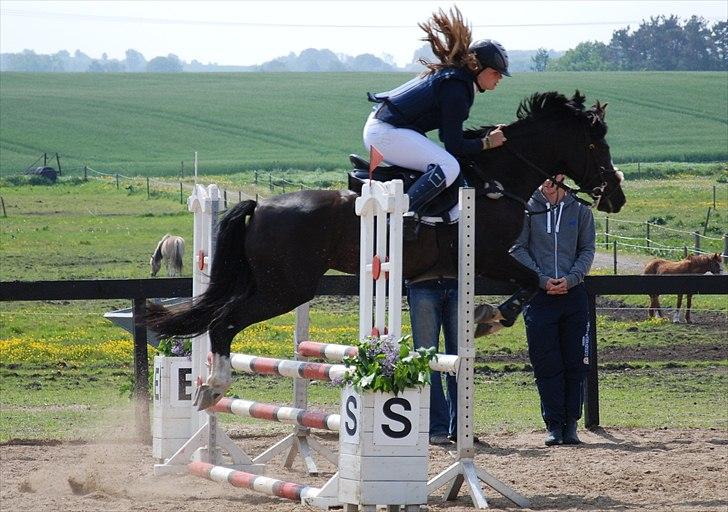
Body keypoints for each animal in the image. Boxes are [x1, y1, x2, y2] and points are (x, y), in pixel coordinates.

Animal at [146, 89, 624, 408]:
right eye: (595, 144)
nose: (615, 197)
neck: (498, 180)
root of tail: (261, 205)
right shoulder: (492, 258)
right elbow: (534, 284)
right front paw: (489, 318)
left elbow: (535, 284)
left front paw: (484, 317)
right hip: (286, 289)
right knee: (223, 322)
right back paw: (213, 386)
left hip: (270, 284)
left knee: (220, 316)